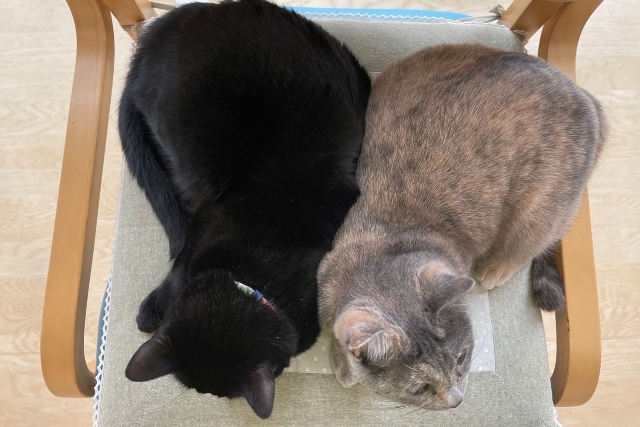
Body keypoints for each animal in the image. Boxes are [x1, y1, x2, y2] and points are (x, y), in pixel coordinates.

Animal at [118, 0, 370, 418]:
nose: (207, 395)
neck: (261, 263)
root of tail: (157, 31)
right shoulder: (208, 219)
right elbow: (181, 262)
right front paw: (153, 308)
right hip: (187, 143)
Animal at [317, 44, 607, 409]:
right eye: (419, 389)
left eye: (462, 358)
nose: (455, 400)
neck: (388, 248)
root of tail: (585, 98)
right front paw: (343, 363)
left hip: (541, 205)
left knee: (533, 241)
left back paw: (495, 267)